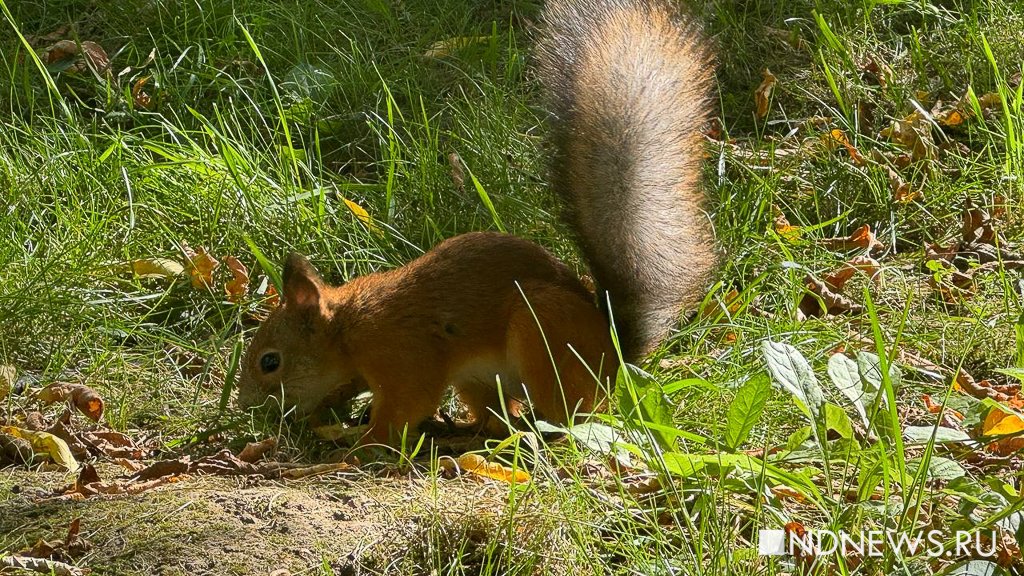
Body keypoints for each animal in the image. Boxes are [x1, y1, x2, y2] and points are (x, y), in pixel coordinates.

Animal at [233, 0, 716, 444]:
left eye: (270, 361)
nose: (246, 406)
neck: (347, 329)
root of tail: (612, 358)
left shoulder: (402, 353)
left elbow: (407, 406)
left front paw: (359, 441)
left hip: (542, 333)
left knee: (566, 414)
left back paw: (531, 432)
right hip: (478, 379)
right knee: (496, 414)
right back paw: (466, 431)